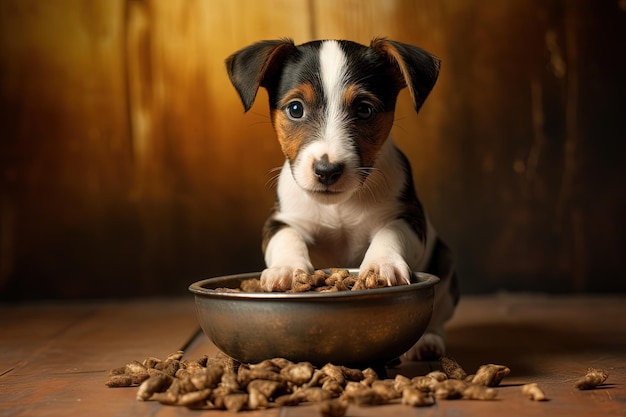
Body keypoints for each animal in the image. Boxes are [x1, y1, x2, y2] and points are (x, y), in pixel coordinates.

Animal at [225, 37, 458, 360]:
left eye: (364, 110)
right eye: (295, 109)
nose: (327, 171)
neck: (338, 206)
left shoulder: (410, 217)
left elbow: (391, 231)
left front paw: (380, 264)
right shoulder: (281, 219)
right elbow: (286, 237)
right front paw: (288, 269)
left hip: (446, 267)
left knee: (438, 319)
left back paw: (427, 342)